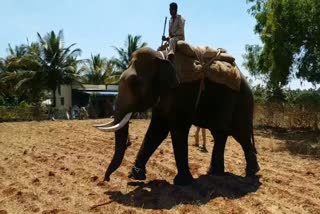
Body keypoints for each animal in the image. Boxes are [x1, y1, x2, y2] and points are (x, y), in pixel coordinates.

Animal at [95, 46, 260, 186]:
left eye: (135, 82)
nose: (106, 179)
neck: (162, 57)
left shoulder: (182, 93)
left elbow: (178, 130)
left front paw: (183, 182)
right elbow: (157, 131)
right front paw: (135, 176)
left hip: (242, 103)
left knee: (241, 135)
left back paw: (251, 174)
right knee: (220, 134)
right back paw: (215, 173)